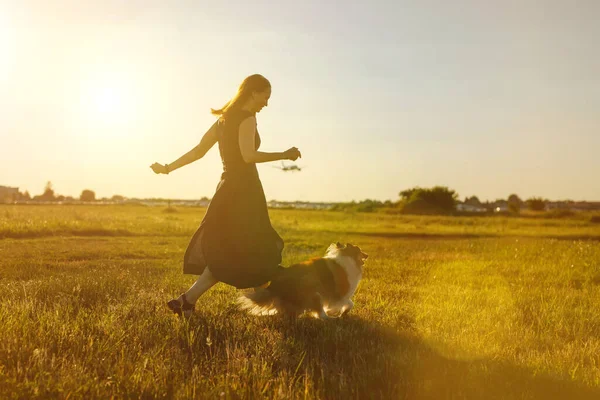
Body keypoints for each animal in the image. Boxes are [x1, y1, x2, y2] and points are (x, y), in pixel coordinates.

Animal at [237, 242, 368, 320]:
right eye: (360, 250)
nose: (367, 255)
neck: (348, 257)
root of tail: (274, 287)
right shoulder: (340, 295)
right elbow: (349, 303)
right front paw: (341, 312)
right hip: (314, 291)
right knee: (320, 315)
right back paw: (329, 318)